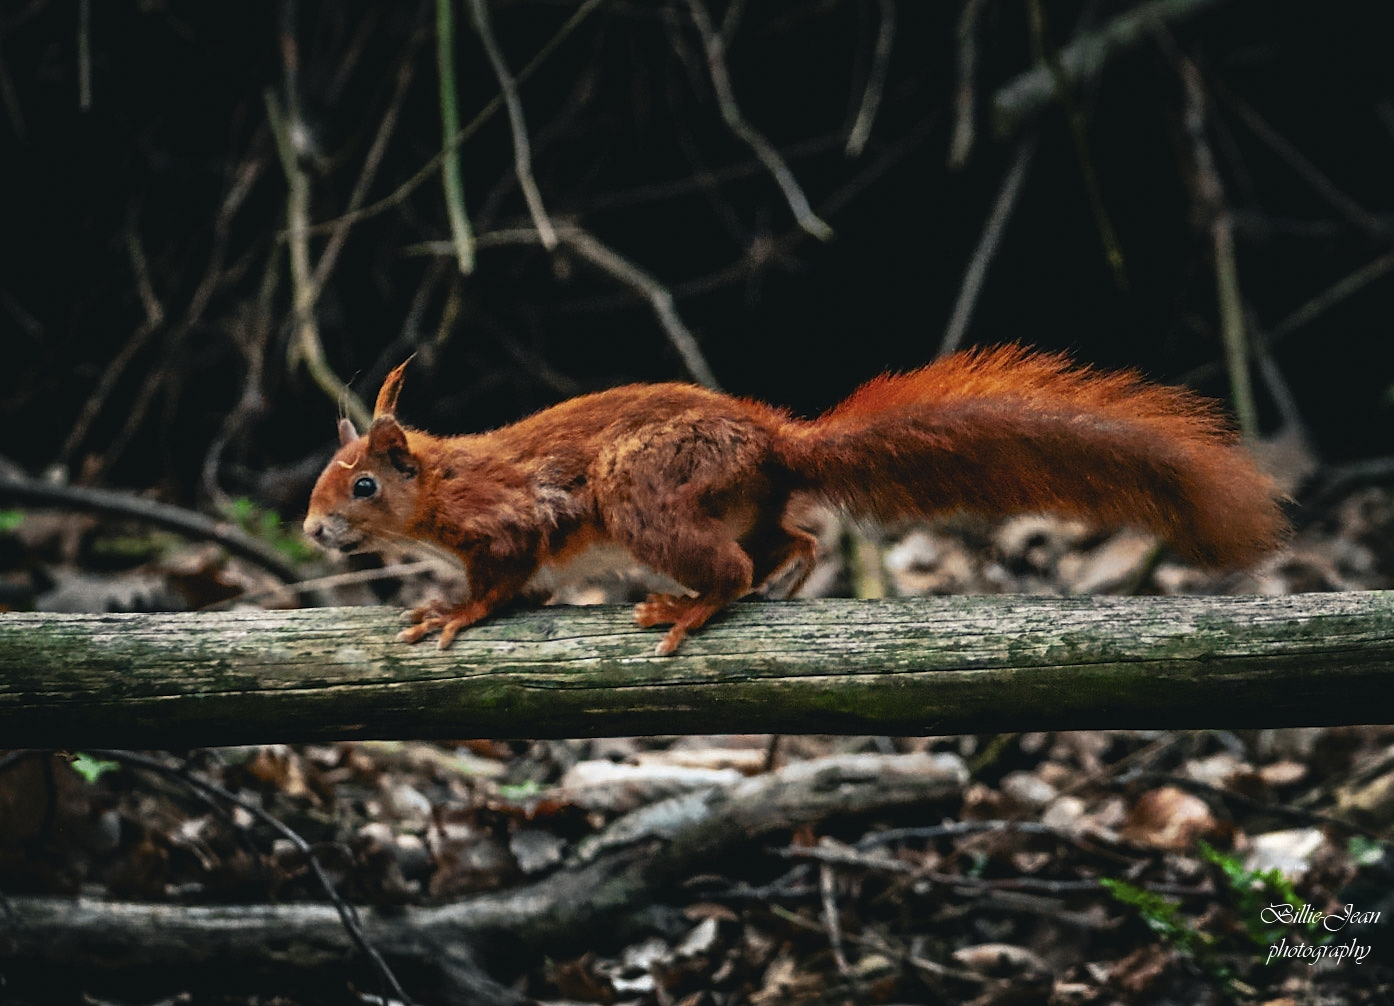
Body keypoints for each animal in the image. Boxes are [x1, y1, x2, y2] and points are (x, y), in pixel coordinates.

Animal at [302, 348, 1282, 654]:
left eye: (362, 485)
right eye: (322, 483)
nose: (313, 531)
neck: (443, 485)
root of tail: (775, 442)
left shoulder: (507, 520)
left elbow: (501, 581)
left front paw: (450, 613)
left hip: (643, 489)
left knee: (734, 565)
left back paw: (690, 610)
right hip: (740, 499)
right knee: (791, 539)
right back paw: (790, 577)